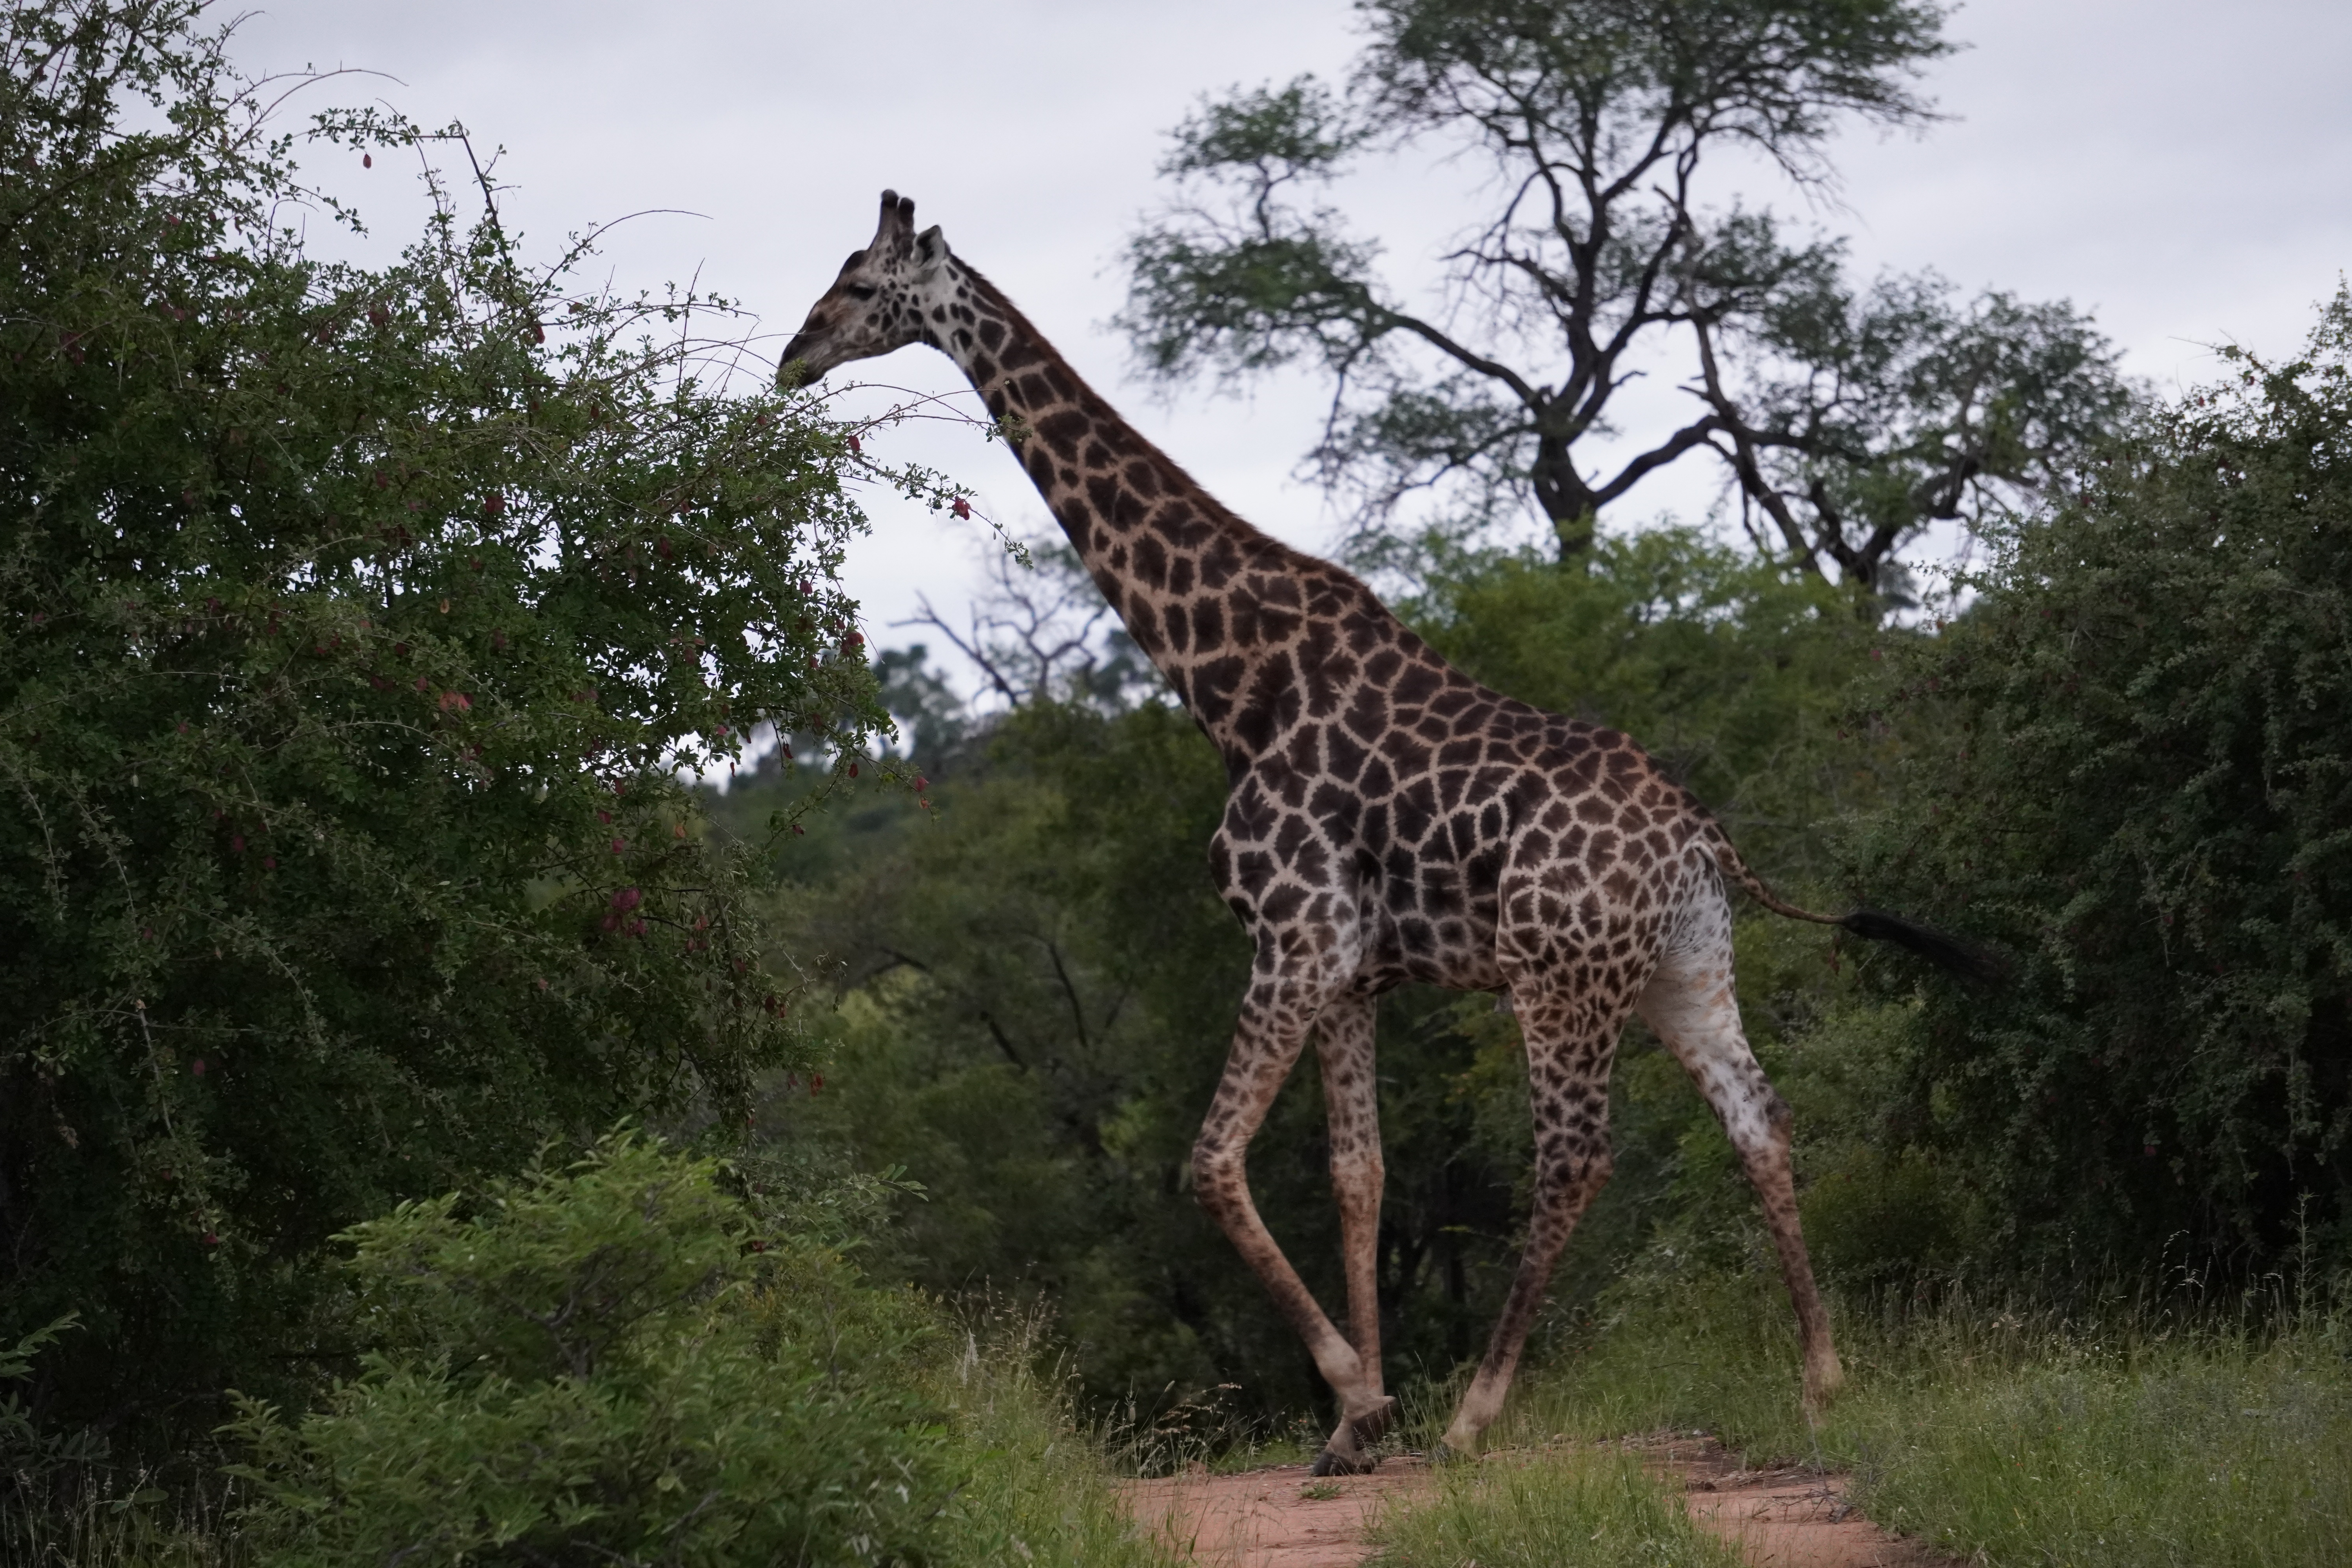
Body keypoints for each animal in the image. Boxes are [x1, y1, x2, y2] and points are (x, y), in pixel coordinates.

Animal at [779, 192, 1989, 1473]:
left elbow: (1211, 1162)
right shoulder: (1352, 971)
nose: (793, 354)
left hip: (1556, 977)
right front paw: (1352, 1430)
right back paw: (1821, 1381)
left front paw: (1366, 1400)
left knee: (1574, 1156)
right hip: (1680, 970)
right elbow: (1358, 1174)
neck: (1231, 681)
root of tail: (1700, 839)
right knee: (1760, 1119)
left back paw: (1476, 1412)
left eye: (858, 286)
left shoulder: (1293, 933)